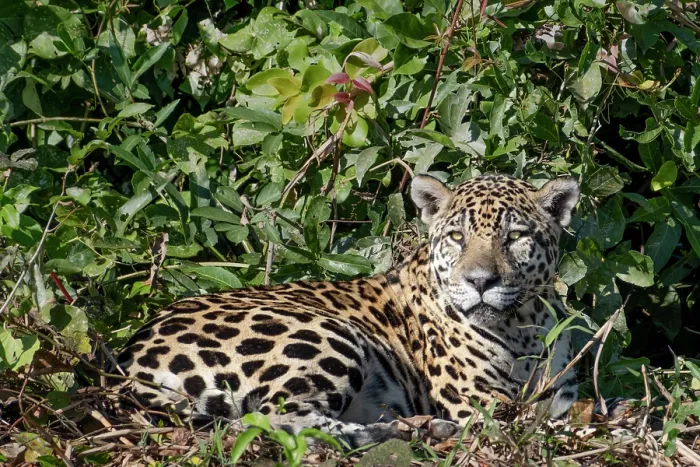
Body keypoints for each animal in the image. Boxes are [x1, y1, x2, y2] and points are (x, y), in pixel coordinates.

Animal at [111, 173, 580, 448]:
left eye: (515, 236)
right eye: (457, 237)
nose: (480, 282)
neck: (523, 326)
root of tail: (127, 360)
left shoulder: (560, 397)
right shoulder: (477, 401)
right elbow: (542, 426)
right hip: (322, 334)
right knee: (277, 418)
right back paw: (411, 430)